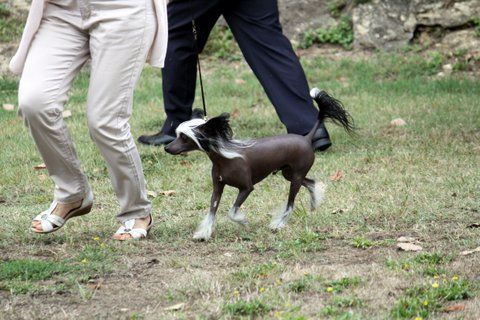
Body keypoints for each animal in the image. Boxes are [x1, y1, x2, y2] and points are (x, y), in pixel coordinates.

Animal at [165, 88, 352, 240]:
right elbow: (212, 211)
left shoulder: (246, 188)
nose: (167, 148)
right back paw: (313, 202)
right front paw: (204, 233)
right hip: (289, 174)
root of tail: (307, 138)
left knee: (290, 204)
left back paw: (278, 224)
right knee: (311, 183)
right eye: (178, 135)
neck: (224, 158)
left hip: (296, 178)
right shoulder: (218, 188)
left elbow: (232, 212)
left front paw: (243, 221)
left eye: (184, 138)